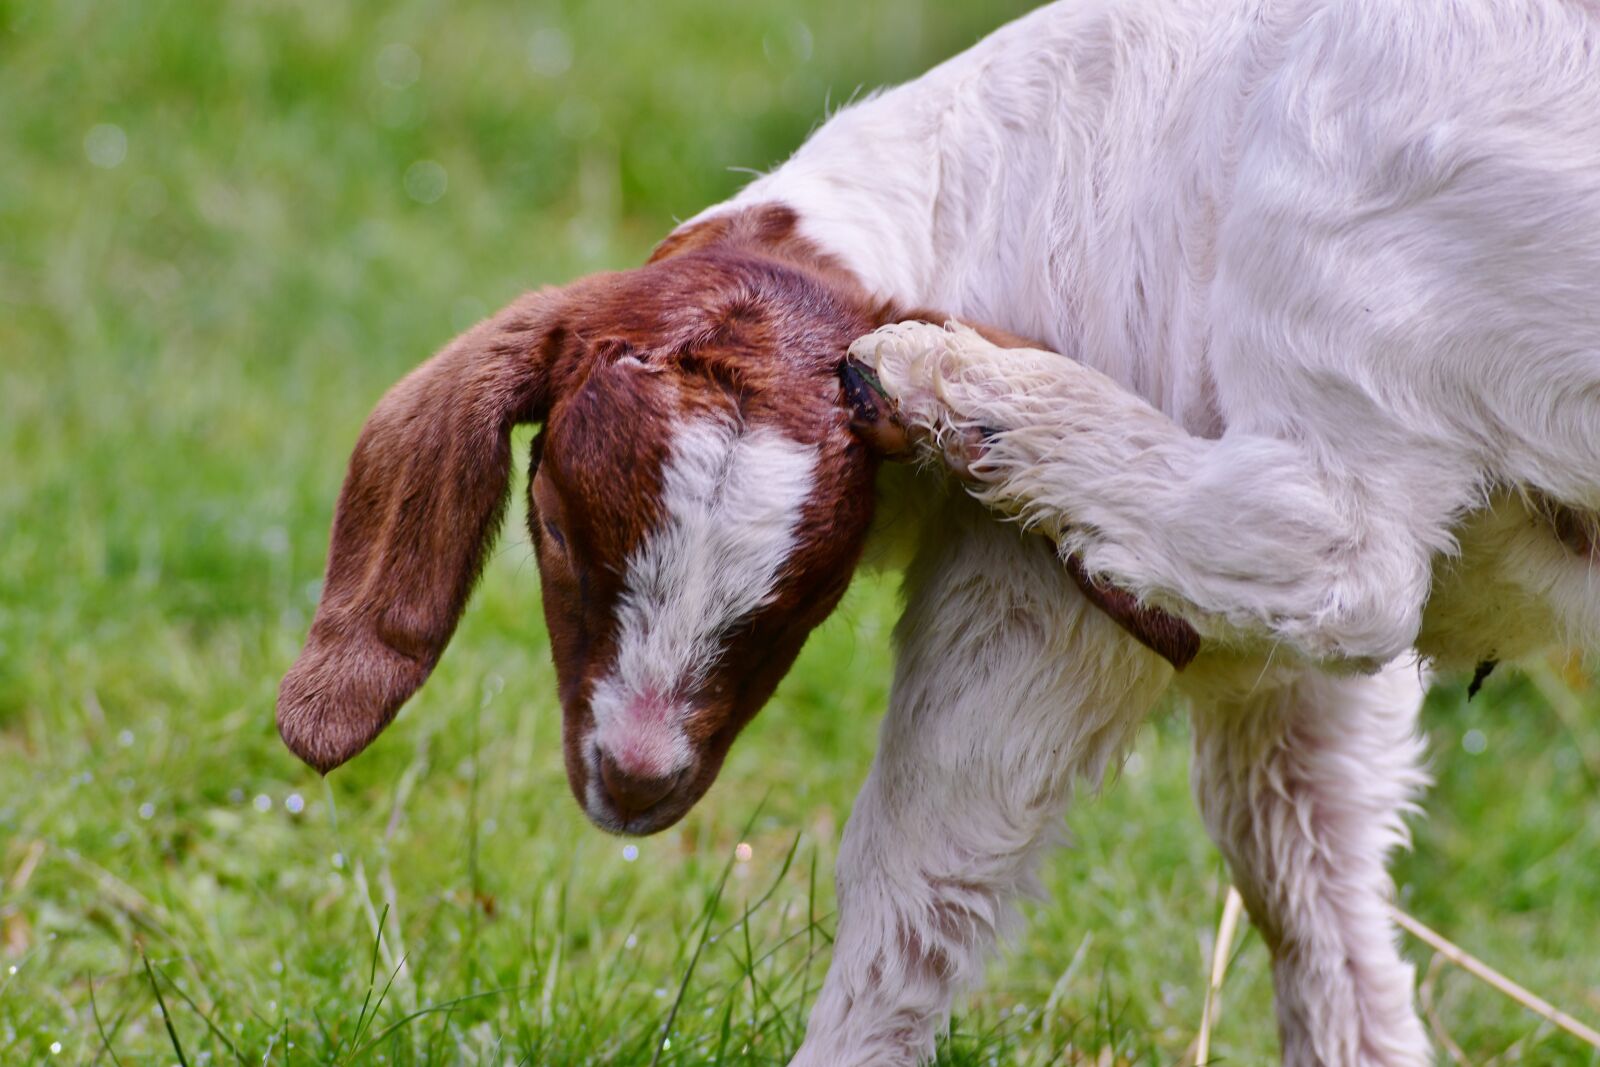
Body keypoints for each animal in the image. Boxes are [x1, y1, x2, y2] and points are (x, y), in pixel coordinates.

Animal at [279, 1, 1600, 1063]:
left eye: (807, 589)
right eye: (553, 526)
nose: (636, 777)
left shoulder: (1045, 597)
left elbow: (919, 870)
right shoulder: (1279, 688)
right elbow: (1303, 868)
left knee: (1335, 553)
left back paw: (952, 380)